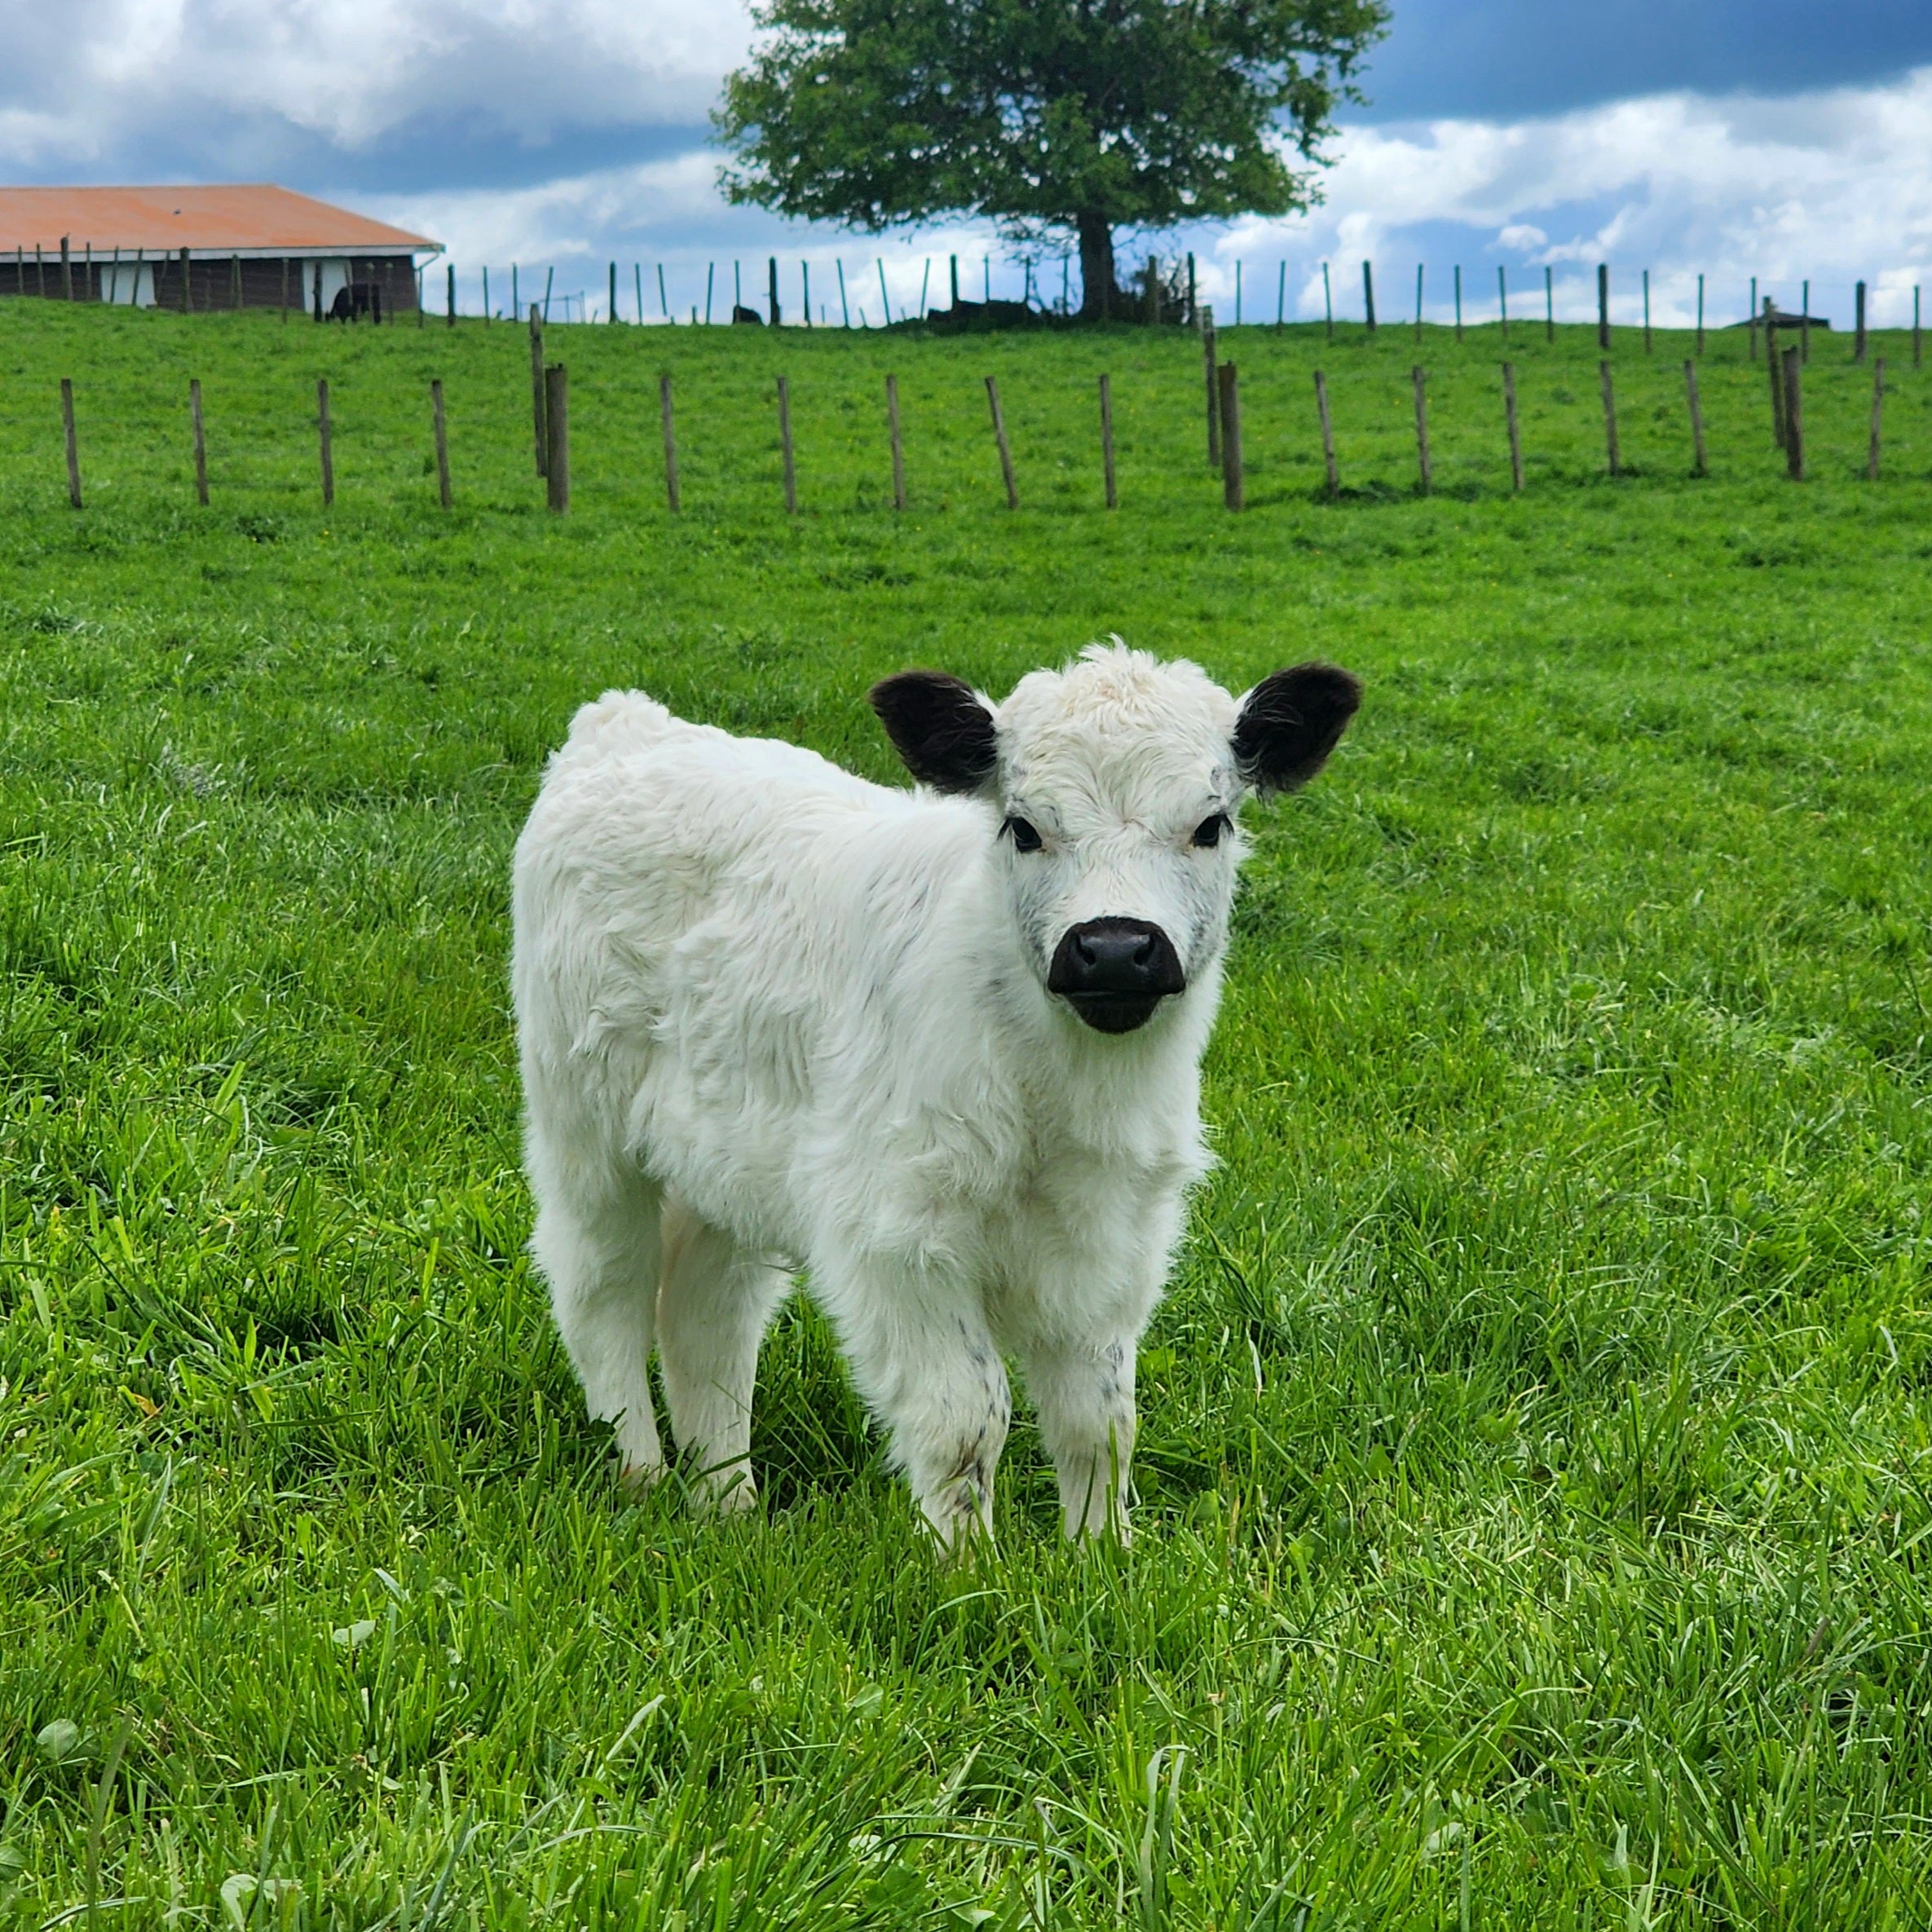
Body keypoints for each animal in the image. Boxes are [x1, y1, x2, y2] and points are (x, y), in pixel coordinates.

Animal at [514, 641, 1360, 1545]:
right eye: (1022, 827)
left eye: (1211, 825)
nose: (1115, 949)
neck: (1057, 1093)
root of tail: (623, 722)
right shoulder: (899, 1236)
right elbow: (967, 1419)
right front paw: (968, 1563)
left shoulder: (1113, 1237)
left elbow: (1100, 1422)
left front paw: (1102, 1555)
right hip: (583, 1129)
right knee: (601, 1290)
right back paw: (640, 1472)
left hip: (727, 1161)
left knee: (708, 1315)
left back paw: (727, 1500)